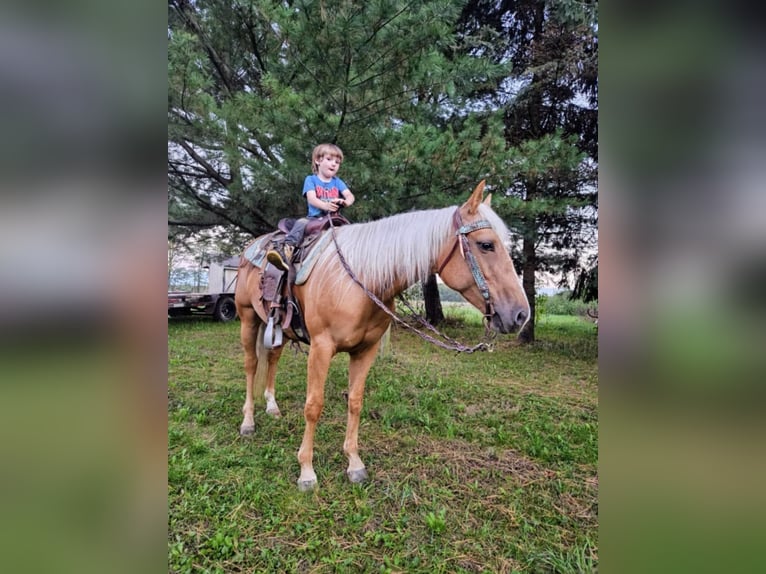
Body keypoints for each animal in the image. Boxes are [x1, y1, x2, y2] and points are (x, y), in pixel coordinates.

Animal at [235, 180, 530, 491]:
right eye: (486, 245)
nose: (521, 315)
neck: (359, 279)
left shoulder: (366, 350)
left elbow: (355, 402)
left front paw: (354, 463)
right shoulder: (321, 348)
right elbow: (313, 405)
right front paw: (306, 471)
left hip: (278, 327)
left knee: (272, 359)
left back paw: (272, 406)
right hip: (248, 319)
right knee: (251, 365)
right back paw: (248, 422)